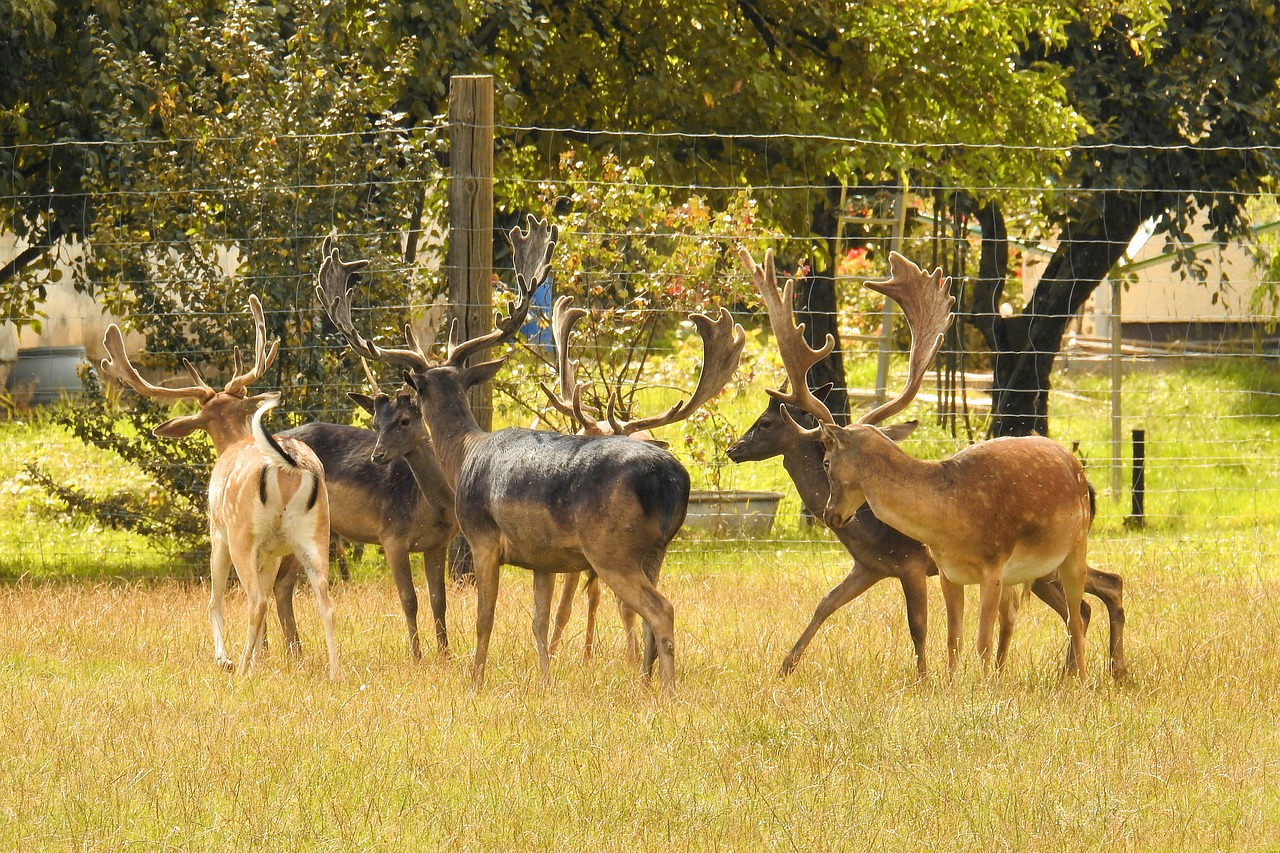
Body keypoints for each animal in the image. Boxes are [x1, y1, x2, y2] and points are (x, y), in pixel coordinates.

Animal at [98, 295, 340, 676]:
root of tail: (286, 463)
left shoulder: (216, 532)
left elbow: (214, 600)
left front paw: (224, 658)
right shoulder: (272, 551)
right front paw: (258, 656)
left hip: (241, 532)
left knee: (255, 600)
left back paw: (239, 670)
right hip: (316, 531)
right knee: (324, 599)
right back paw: (333, 671)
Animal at [535, 295, 747, 660]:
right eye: (582, 437)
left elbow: (623, 608)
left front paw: (631, 658)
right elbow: (565, 606)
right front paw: (555, 651)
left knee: (620, 601)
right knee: (595, 597)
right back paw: (589, 651)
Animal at [747, 247, 1105, 676]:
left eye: (828, 461)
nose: (831, 515)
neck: (950, 517)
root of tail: (1078, 467)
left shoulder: (985, 567)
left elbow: (972, 640)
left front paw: (969, 686)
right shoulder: (944, 573)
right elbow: (952, 640)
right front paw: (949, 684)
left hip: (1073, 548)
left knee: (1079, 613)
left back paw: (1080, 677)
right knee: (1057, 612)